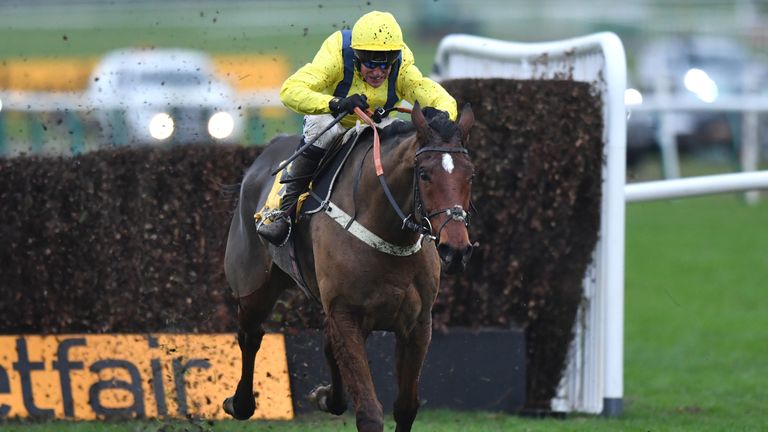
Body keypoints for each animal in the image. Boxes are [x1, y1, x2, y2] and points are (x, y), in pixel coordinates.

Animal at [220, 102, 474, 432]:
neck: (387, 231)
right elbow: (369, 412)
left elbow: (406, 407)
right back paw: (240, 403)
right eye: (424, 174)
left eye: (471, 174)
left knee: (327, 345)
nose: (455, 250)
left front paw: (327, 396)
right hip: (254, 284)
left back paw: (328, 397)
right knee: (250, 334)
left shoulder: (417, 324)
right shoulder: (346, 314)